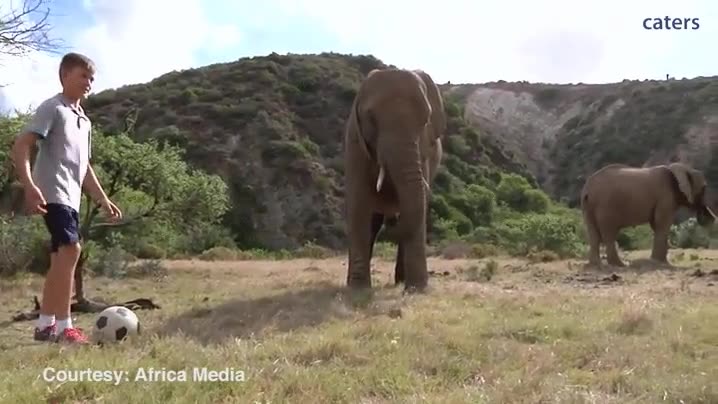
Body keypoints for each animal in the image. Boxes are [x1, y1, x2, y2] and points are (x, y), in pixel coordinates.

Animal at [343, 68, 446, 292]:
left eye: (425, 120)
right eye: (371, 118)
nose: (392, 221)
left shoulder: (424, 151)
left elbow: (418, 206)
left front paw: (417, 289)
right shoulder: (355, 144)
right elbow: (358, 205)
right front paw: (358, 291)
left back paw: (401, 281)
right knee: (372, 223)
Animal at [580, 162, 717, 268]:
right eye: (704, 188)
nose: (710, 219)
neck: (681, 168)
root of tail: (588, 189)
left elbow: (656, 224)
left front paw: (660, 262)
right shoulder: (665, 196)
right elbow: (662, 223)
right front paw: (660, 263)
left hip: (588, 206)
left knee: (593, 234)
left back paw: (597, 265)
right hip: (606, 206)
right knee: (609, 234)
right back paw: (620, 265)